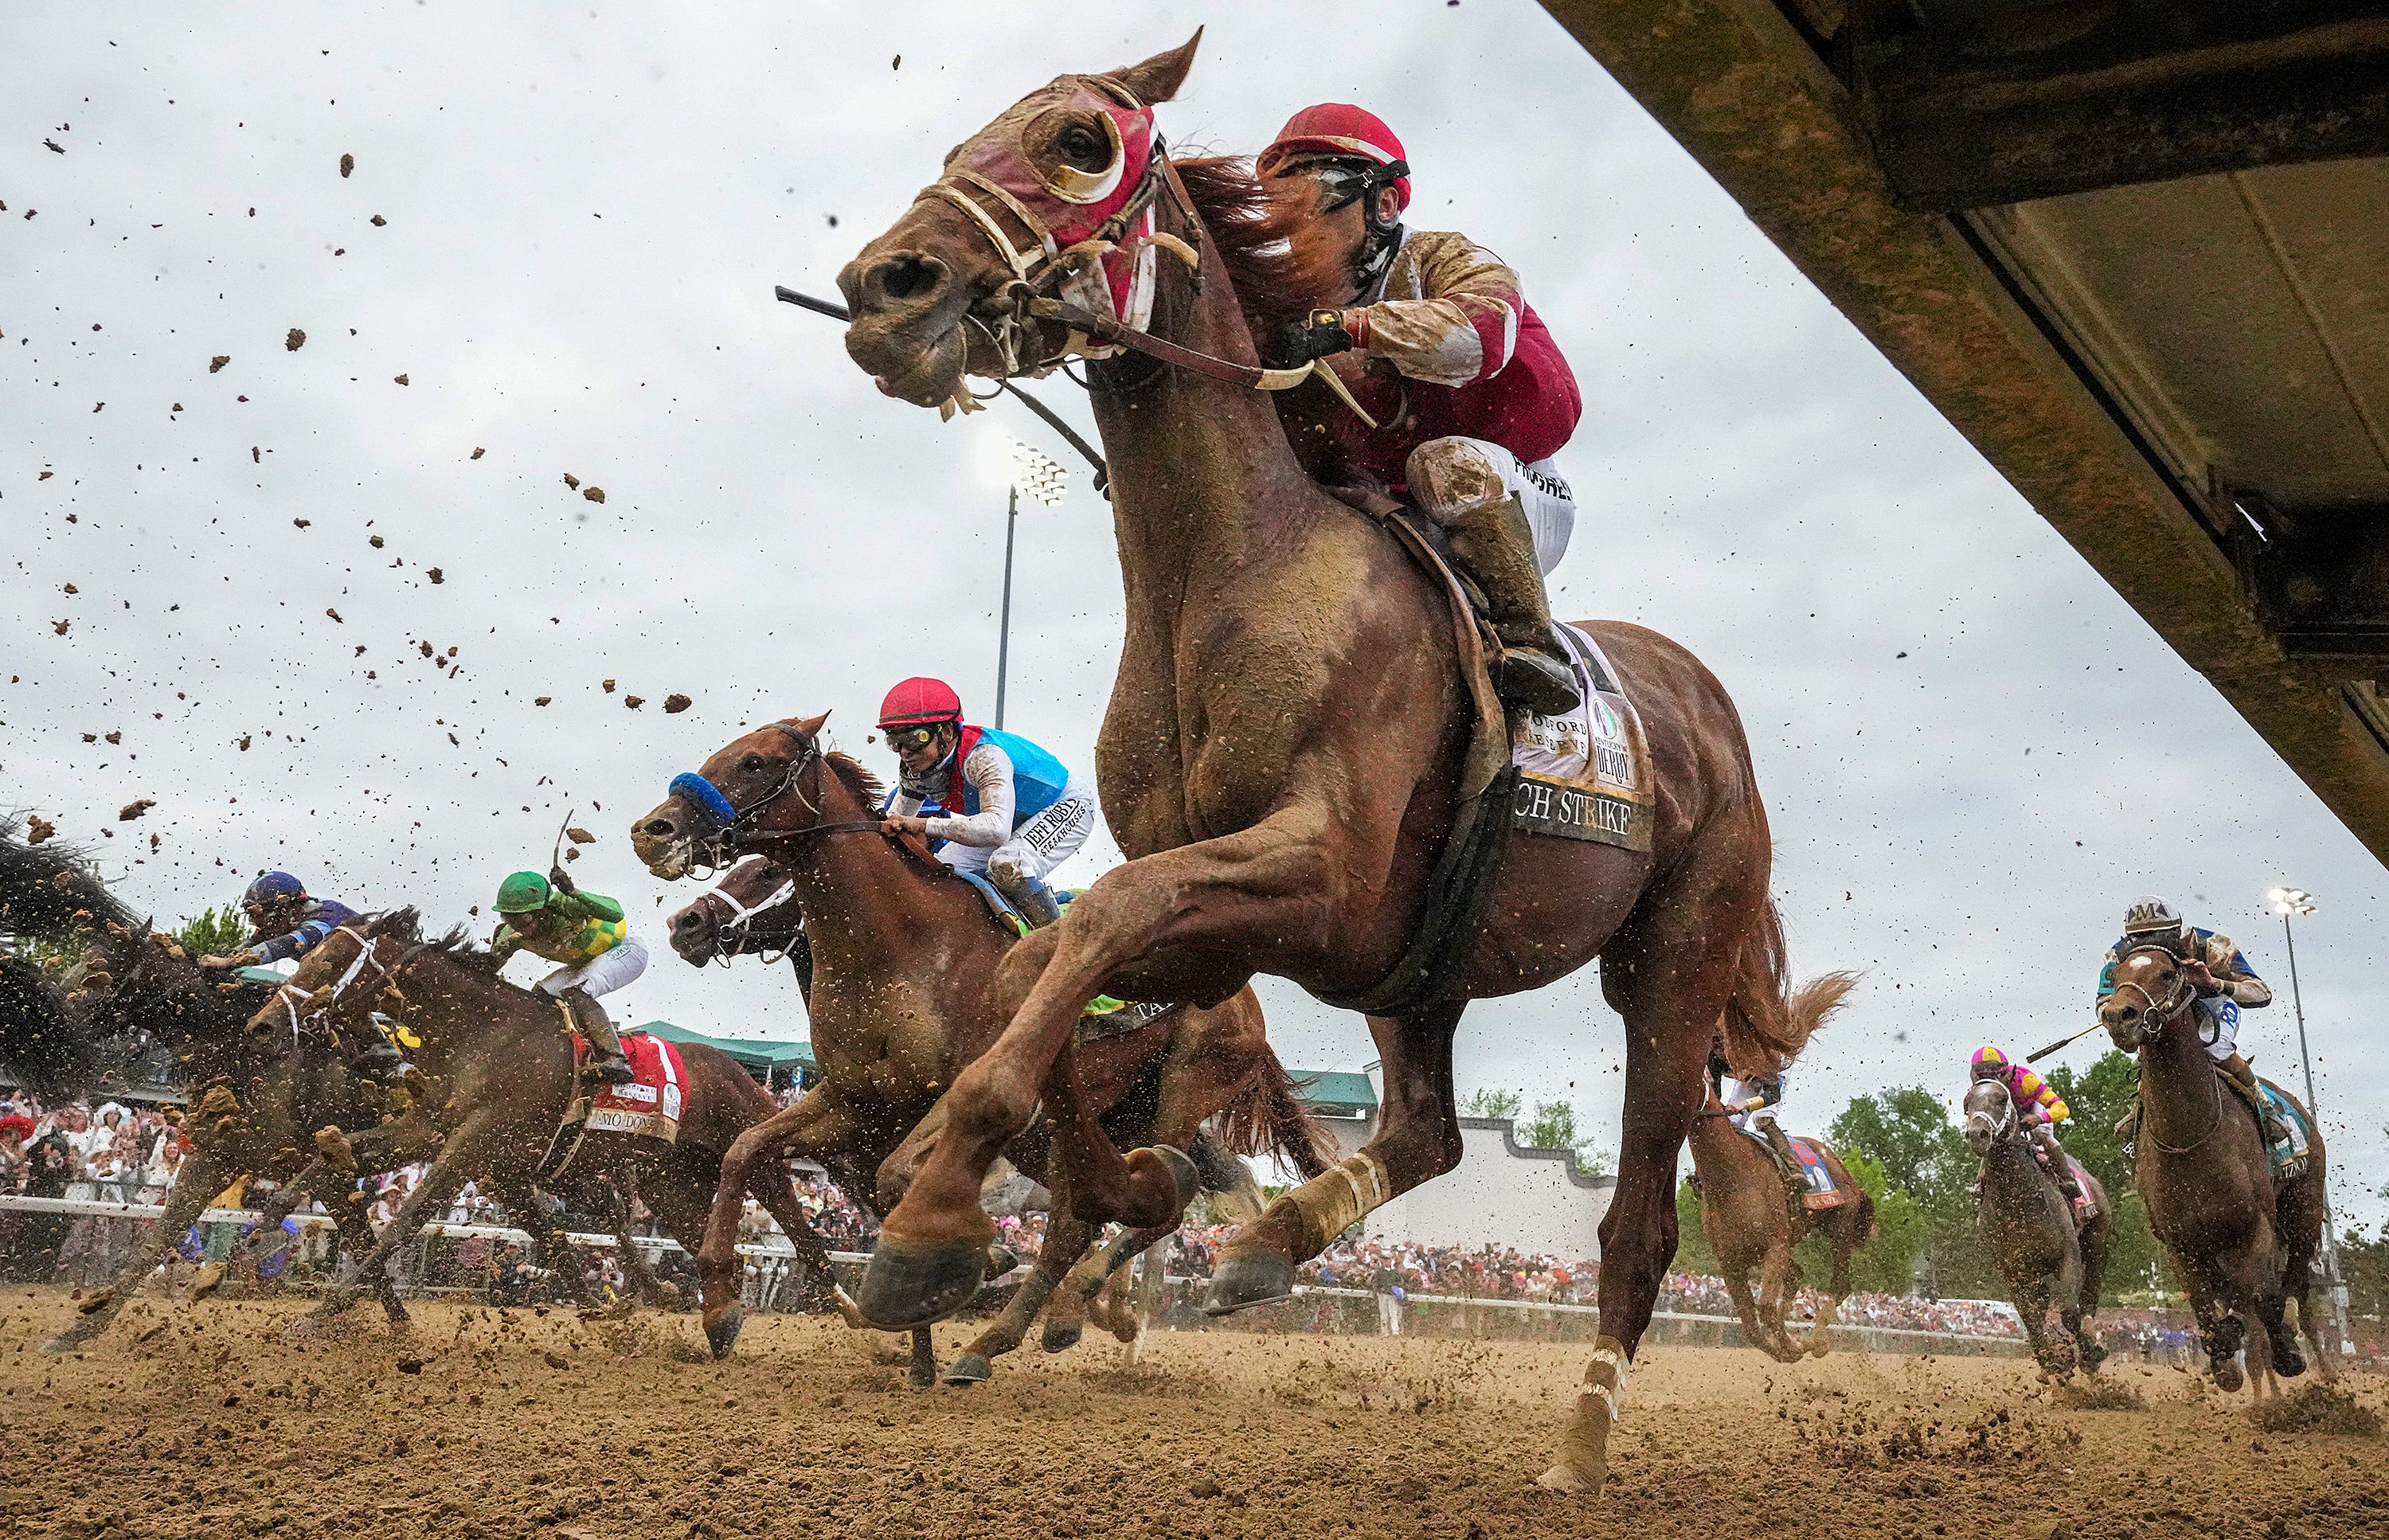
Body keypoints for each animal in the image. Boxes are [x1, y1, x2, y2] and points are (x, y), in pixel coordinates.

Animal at [248, 912, 846, 1337]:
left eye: (332, 962)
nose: (262, 1027)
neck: (484, 1037)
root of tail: (743, 1074)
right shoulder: (432, 1132)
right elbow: (338, 1151)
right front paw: (272, 1214)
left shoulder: (470, 1147)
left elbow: (402, 1224)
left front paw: (317, 1316)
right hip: (671, 1184)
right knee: (723, 1254)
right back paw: (714, 1320)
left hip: (754, 1157)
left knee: (802, 1236)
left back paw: (845, 1308)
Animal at [631, 725, 1328, 1375]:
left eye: (755, 762)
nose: (685, 923)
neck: (899, 947)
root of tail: (1244, 994)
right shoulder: (855, 1100)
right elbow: (747, 1151)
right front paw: (724, 1309)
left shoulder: (953, 1095)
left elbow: (895, 1183)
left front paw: (955, 1279)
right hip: (1102, 1118)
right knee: (1087, 1217)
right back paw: (1029, 1332)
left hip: (1186, 1085)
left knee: (1152, 1213)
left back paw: (1080, 1312)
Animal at [841, 33, 1806, 1480]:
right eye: (966, 141)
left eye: (1081, 141)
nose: (884, 286)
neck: (1230, 572)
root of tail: (1714, 710)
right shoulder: (1242, 916)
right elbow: (1039, 963)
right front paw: (1082, 1189)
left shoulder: (1317, 874)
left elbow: (1100, 920)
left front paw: (932, 1225)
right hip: (1421, 968)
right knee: (1429, 1128)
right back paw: (1259, 1246)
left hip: (1670, 967)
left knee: (1638, 1220)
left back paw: (1579, 1437)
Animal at [1959, 1074, 2112, 1375]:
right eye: (1968, 1102)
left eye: (2001, 1099)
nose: (1978, 1134)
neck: (2017, 1202)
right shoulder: (2014, 1270)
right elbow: (2030, 1320)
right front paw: (2054, 1361)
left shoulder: (2067, 1256)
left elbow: (2069, 1315)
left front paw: (2087, 1354)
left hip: (2097, 1239)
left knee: (2090, 1293)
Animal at [2102, 940, 2322, 1385]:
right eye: (2114, 978)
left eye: (2168, 973)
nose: (2120, 1016)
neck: (2189, 1138)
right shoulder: (2181, 1244)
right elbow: (2207, 1309)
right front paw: (2225, 1358)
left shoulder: (2254, 1228)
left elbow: (2262, 1297)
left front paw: (2285, 1352)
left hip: (2303, 1213)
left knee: (2296, 1285)